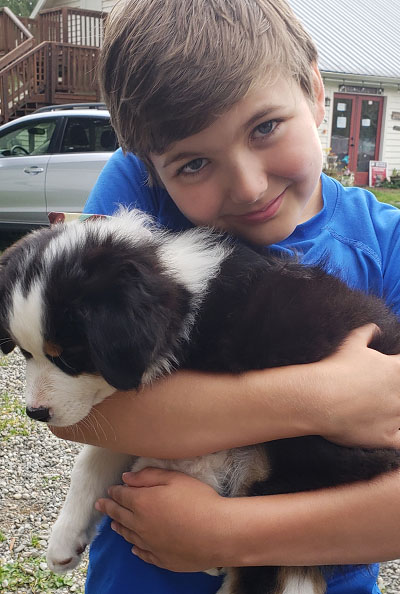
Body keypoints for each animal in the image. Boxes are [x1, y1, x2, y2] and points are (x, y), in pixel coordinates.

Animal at [0, 209, 400, 592]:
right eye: (24, 353)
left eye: (69, 357)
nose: (35, 413)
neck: (185, 300)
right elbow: (94, 459)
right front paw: (64, 541)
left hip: (301, 463)